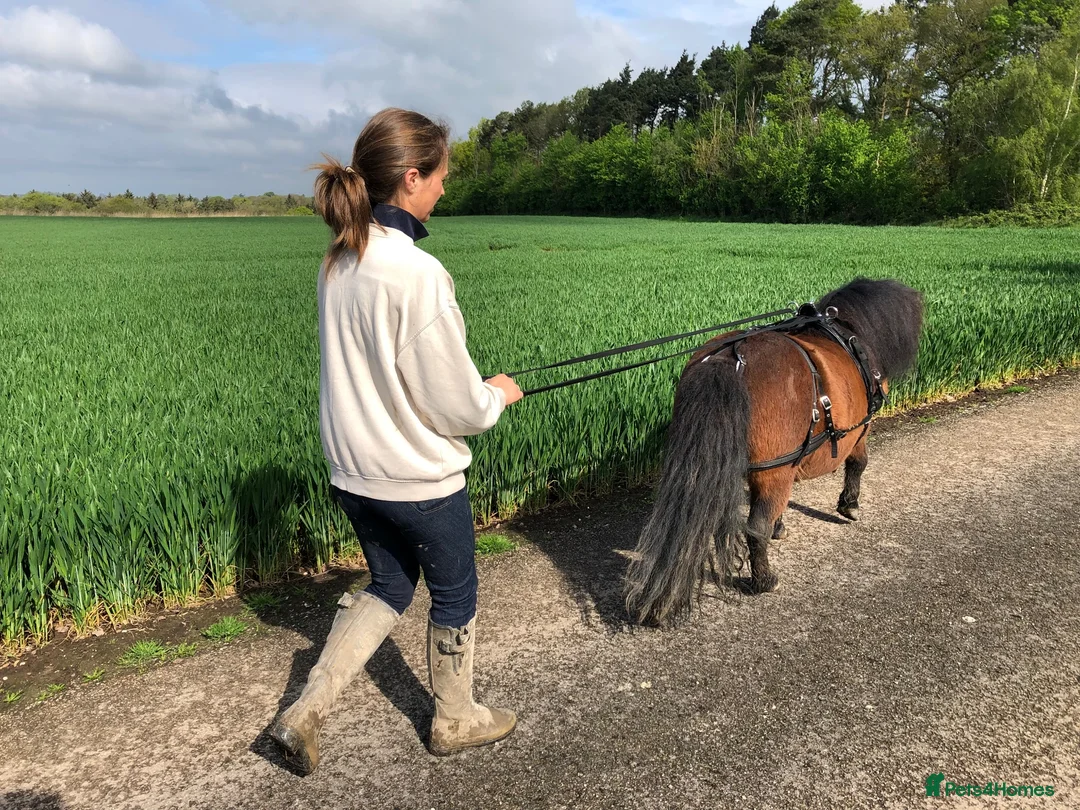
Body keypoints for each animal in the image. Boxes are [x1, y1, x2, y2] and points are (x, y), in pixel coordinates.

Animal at [623, 277, 924, 627]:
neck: (848, 333)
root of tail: (728, 360)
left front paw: (782, 526)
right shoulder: (859, 431)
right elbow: (859, 463)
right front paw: (849, 506)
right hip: (775, 467)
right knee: (755, 527)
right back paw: (764, 580)